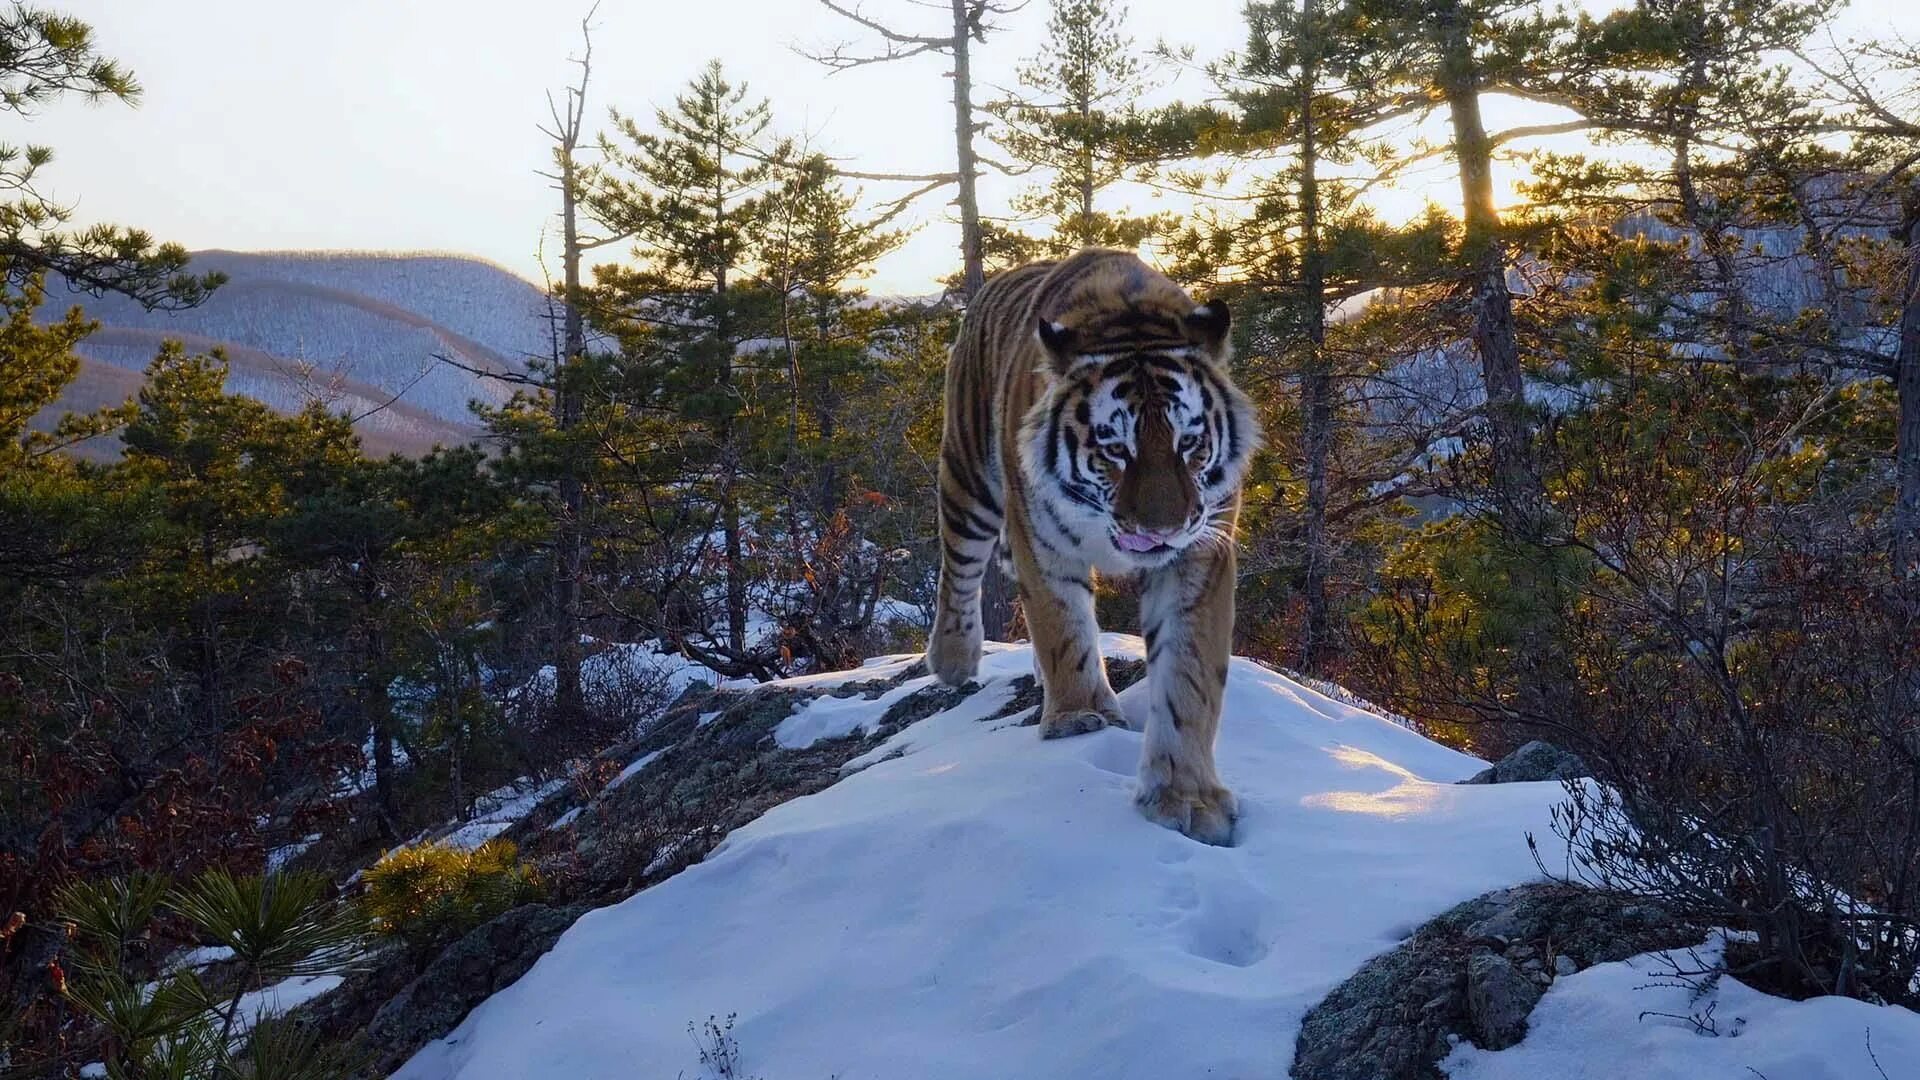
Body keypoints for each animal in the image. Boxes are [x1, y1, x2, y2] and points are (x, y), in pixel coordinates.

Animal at [925, 247, 1259, 845]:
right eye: (1115, 449)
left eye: (1190, 443)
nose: (1163, 529)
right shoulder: (1040, 540)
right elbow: (1063, 629)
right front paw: (1082, 718)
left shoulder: (1200, 552)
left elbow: (1190, 676)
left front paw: (1187, 798)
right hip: (968, 478)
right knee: (958, 567)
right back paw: (954, 660)